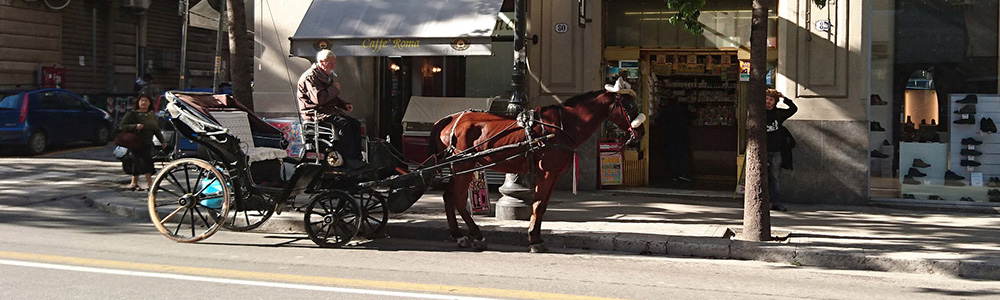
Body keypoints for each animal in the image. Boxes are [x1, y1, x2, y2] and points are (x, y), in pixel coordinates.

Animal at [424, 78, 644, 252]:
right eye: (629, 106)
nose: (640, 133)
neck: (562, 127)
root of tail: (449, 119)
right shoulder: (546, 173)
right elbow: (537, 205)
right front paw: (534, 240)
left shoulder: (554, 175)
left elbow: (543, 206)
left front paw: (536, 236)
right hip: (463, 166)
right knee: (459, 199)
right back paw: (477, 235)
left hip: (459, 167)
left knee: (448, 197)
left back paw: (458, 235)